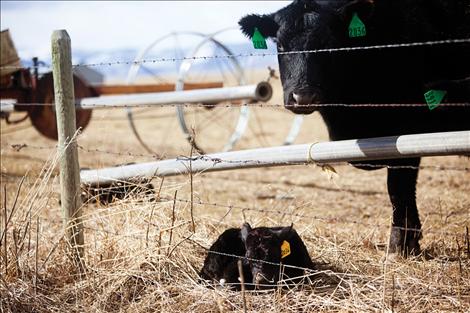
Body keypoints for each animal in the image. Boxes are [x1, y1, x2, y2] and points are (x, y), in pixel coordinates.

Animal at [239, 0, 470, 254]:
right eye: (280, 44)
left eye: (328, 45)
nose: (303, 97)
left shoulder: (407, 132)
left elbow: (398, 188)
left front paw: (400, 244)